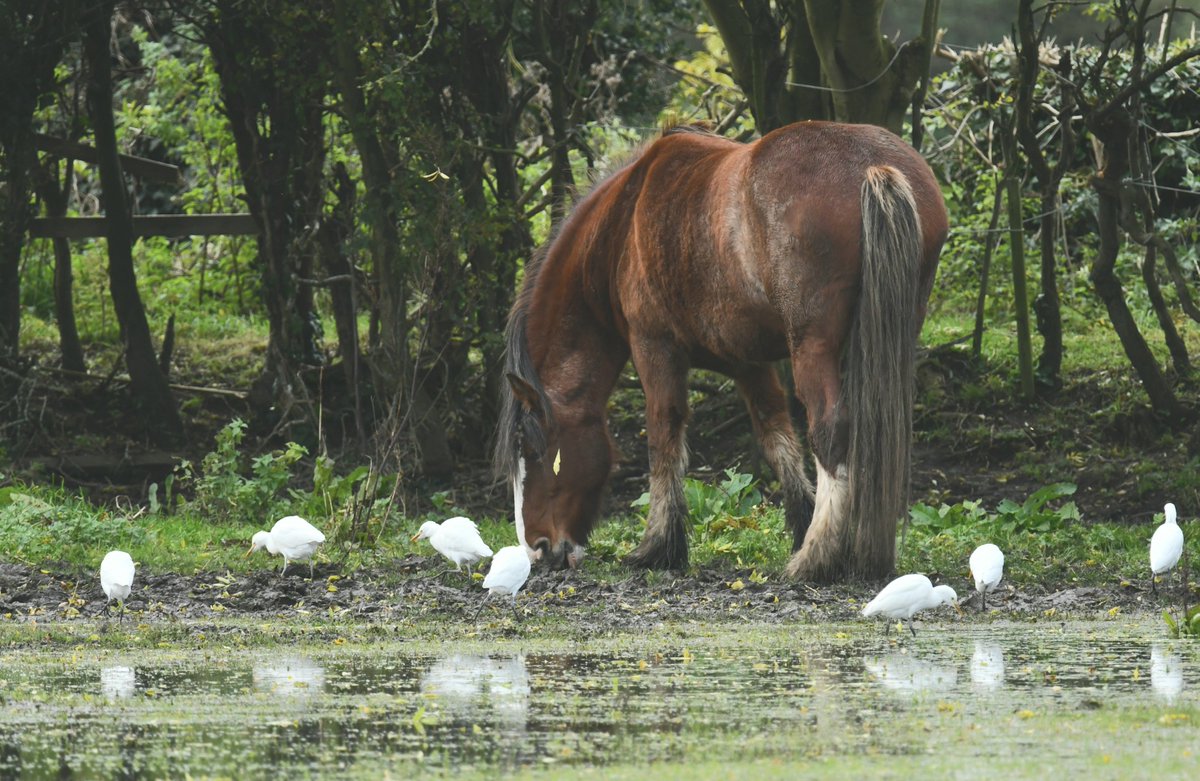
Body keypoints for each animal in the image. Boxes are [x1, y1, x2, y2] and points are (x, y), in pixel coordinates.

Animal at [492, 122, 940, 583]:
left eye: (534, 451)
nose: (538, 549)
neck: (623, 222)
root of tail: (874, 167)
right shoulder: (748, 362)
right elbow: (776, 436)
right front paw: (799, 523)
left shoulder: (655, 347)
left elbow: (664, 436)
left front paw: (658, 545)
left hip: (812, 349)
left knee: (831, 431)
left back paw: (815, 557)